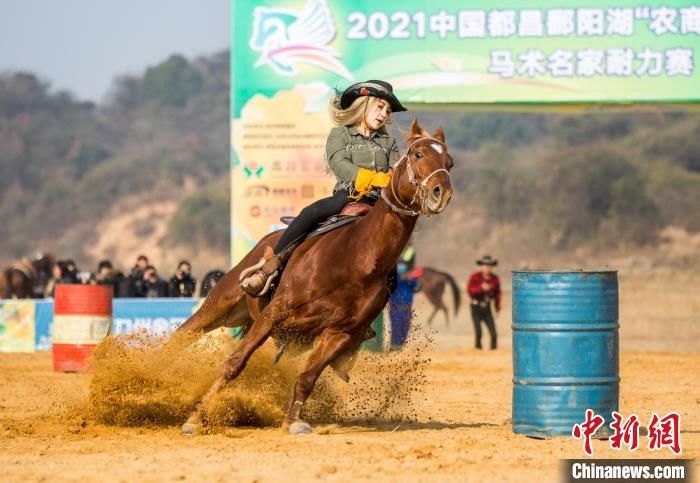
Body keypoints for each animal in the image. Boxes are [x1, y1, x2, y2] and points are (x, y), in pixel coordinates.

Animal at [172, 119, 452, 436]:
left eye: (449, 162)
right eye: (418, 154)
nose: (441, 193)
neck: (354, 258)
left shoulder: (338, 334)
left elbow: (307, 378)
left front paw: (293, 422)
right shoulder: (275, 313)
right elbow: (234, 363)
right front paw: (194, 418)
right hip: (221, 303)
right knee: (181, 336)